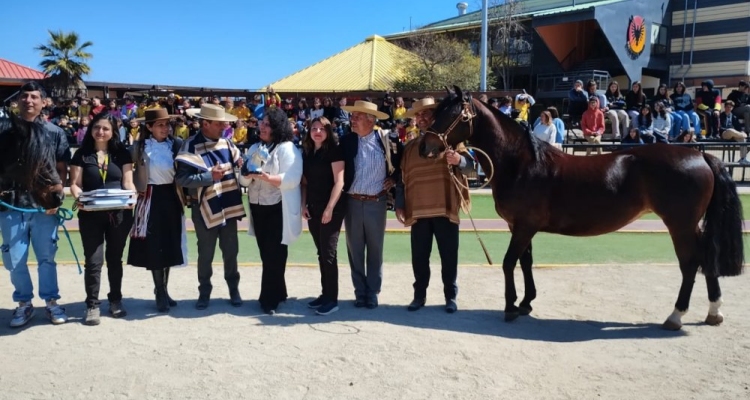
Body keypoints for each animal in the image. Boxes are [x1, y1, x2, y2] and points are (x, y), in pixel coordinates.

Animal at [424, 86, 748, 330]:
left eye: (451, 115)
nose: (425, 147)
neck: (523, 162)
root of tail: (702, 156)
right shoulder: (521, 226)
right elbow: (526, 262)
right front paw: (526, 302)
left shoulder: (524, 227)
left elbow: (508, 263)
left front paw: (510, 307)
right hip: (690, 225)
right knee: (706, 259)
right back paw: (714, 312)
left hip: (679, 224)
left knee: (690, 263)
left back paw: (676, 315)